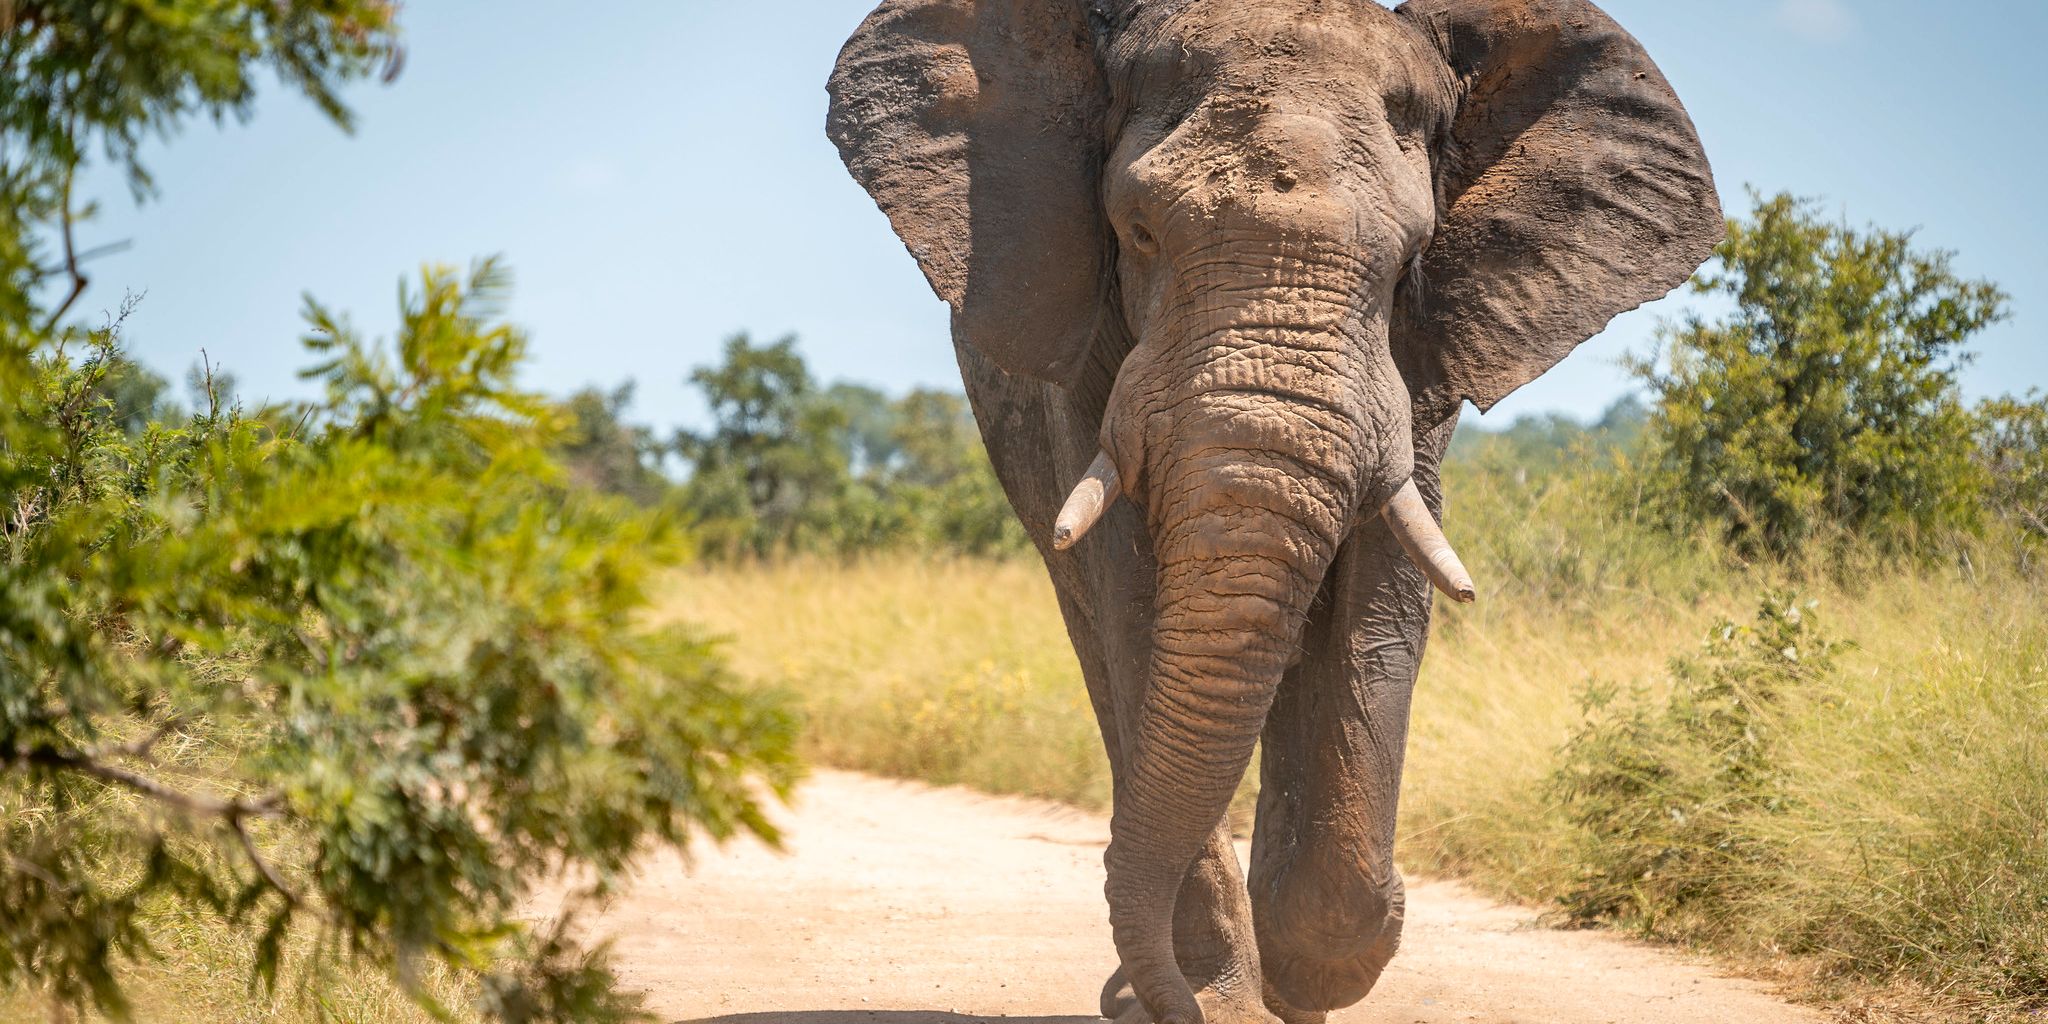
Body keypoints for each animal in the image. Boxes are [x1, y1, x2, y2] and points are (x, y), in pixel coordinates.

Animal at [824, 1, 1720, 1022]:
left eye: (1410, 264)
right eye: (1137, 232)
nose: (1144, 999)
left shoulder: (1417, 369)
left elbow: (1381, 601)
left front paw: (1307, 973)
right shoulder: (1093, 358)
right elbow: (1137, 598)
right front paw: (1217, 1002)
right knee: (1100, 643)